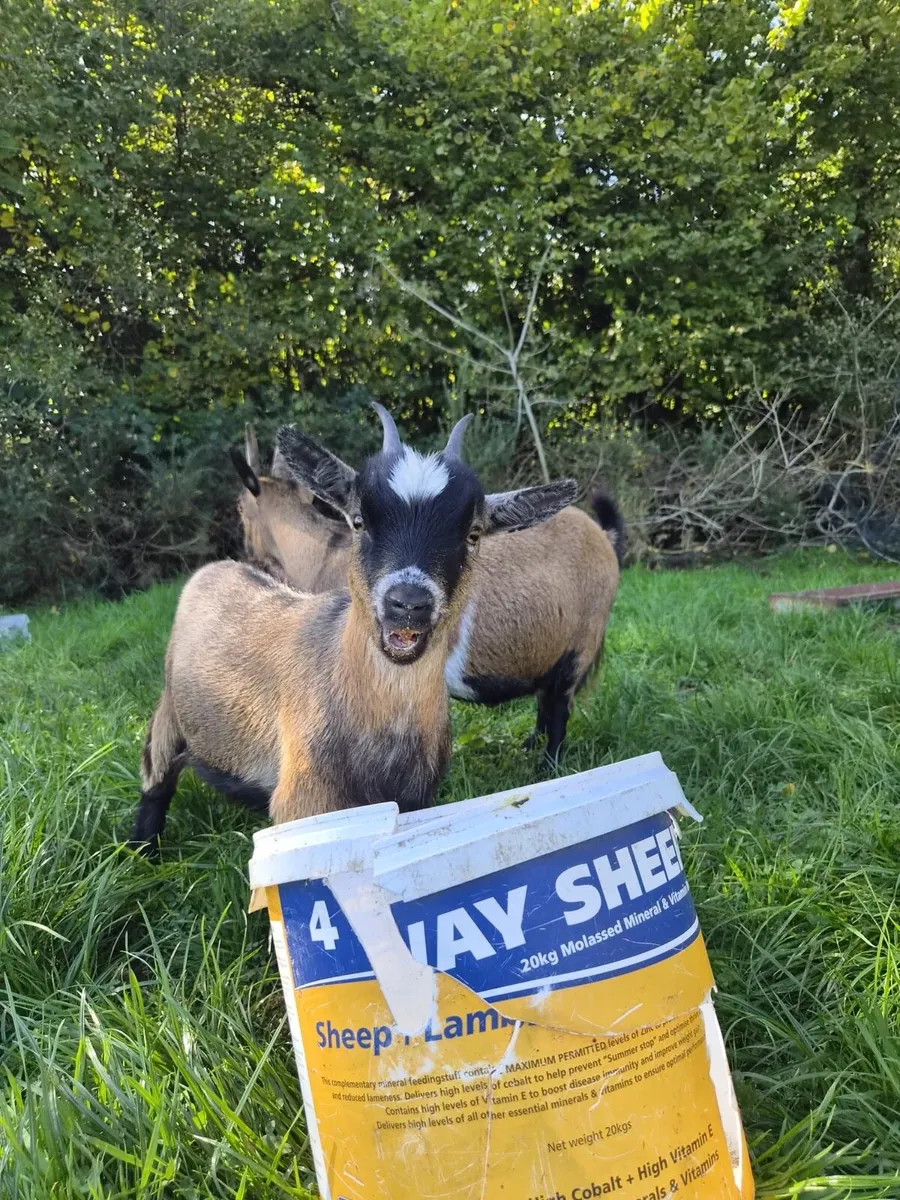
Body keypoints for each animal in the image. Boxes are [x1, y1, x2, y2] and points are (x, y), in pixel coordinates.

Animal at [131, 407, 576, 851]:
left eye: (474, 533)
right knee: (155, 784)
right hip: (167, 718)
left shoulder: (413, 802)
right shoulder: (307, 805)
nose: (408, 602)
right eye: (359, 522)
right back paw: (143, 852)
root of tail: (217, 568)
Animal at [234, 431, 624, 762]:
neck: (323, 553)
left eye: (240, 508)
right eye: (359, 521)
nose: (248, 552)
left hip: (579, 645)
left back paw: (547, 766)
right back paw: (529, 746)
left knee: (558, 709)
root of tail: (603, 536)